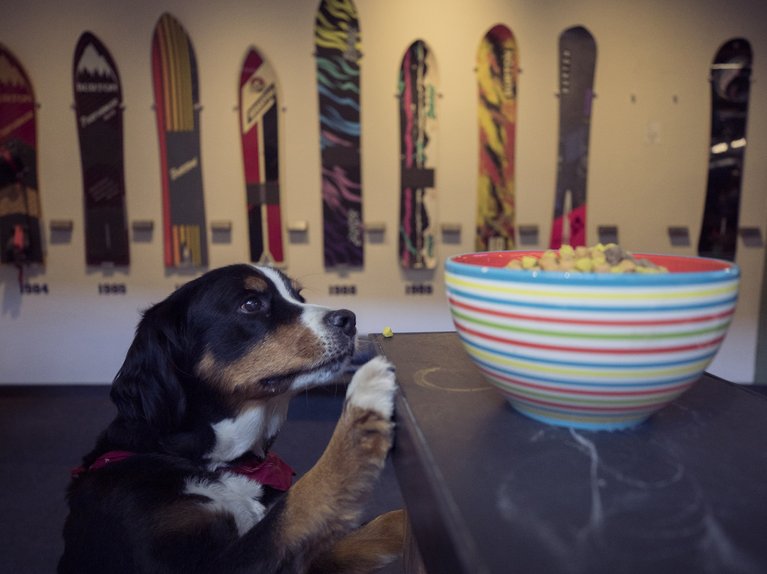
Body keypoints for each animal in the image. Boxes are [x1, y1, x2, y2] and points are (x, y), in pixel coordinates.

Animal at [57, 266, 404, 574]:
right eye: (251, 304)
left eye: (298, 295)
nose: (349, 320)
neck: (221, 464)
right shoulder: (208, 565)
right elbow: (300, 499)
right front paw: (364, 400)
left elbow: (367, 530)